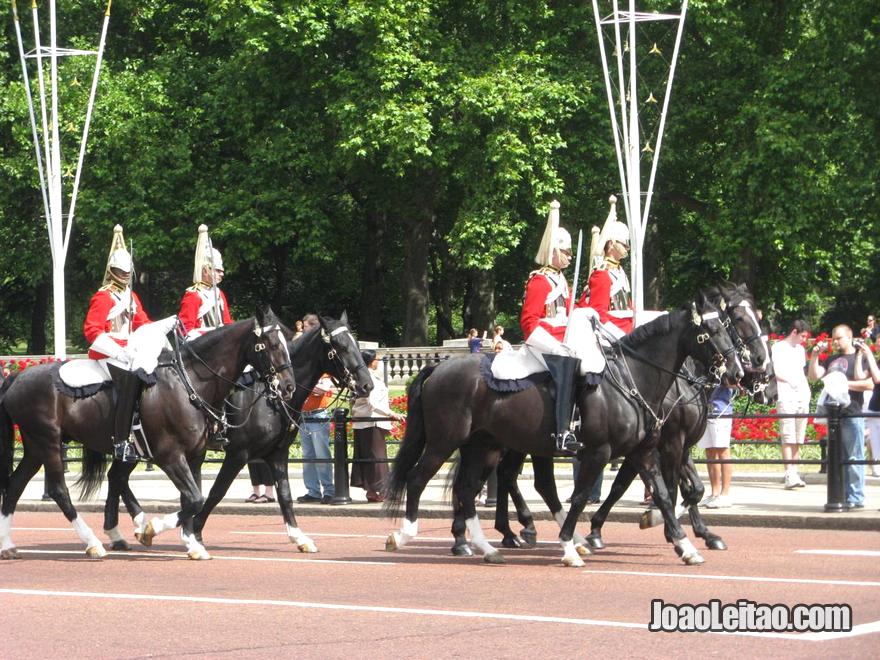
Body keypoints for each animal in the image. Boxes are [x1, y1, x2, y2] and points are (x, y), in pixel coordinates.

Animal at [0, 306, 296, 560]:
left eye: (287, 341)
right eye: (271, 344)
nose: (288, 386)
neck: (190, 381)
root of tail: (17, 376)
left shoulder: (194, 456)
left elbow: (194, 498)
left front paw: (191, 542)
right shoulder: (170, 456)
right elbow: (195, 498)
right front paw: (151, 530)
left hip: (35, 447)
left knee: (15, 486)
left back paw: (8, 545)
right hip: (48, 442)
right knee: (58, 490)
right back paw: (93, 542)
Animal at [93, 312, 374, 556]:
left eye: (356, 343)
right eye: (340, 346)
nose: (366, 385)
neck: (269, 397)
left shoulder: (277, 453)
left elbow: (284, 495)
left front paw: (299, 537)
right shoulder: (239, 454)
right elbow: (217, 492)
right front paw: (195, 532)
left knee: (117, 478)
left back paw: (130, 529)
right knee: (118, 478)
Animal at [384, 294, 744, 568]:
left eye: (728, 328)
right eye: (711, 331)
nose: (738, 372)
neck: (633, 380)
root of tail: (439, 367)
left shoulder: (643, 452)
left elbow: (664, 496)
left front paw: (685, 545)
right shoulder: (603, 452)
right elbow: (583, 495)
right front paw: (570, 546)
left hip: (483, 446)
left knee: (469, 489)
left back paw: (487, 546)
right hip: (446, 441)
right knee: (418, 479)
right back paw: (405, 535)